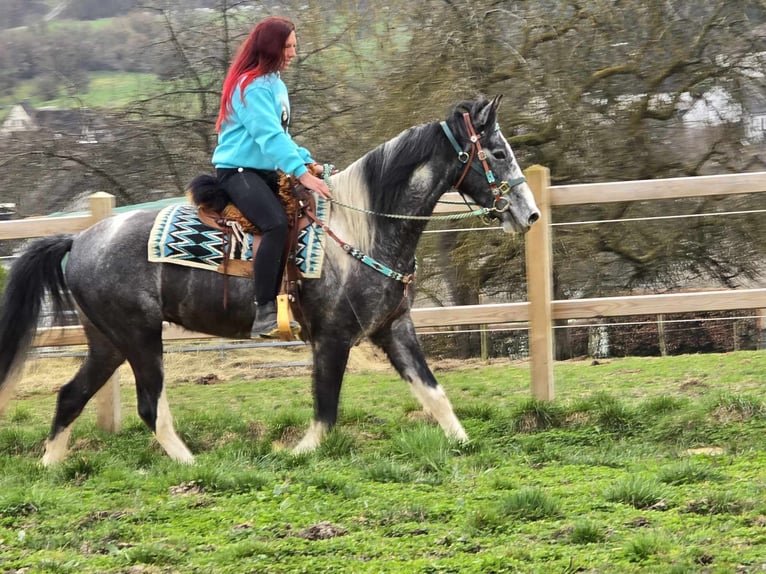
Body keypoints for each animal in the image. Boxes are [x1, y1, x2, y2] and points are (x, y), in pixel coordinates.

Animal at [0, 95, 539, 465]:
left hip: (109, 341)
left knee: (71, 395)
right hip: (139, 338)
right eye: (496, 152)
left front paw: (464, 443)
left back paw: (51, 466)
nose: (528, 213)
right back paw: (192, 465)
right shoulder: (333, 337)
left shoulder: (394, 329)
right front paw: (298, 454)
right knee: (150, 407)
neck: (360, 228)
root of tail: (79, 240)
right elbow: (326, 410)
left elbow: (433, 393)